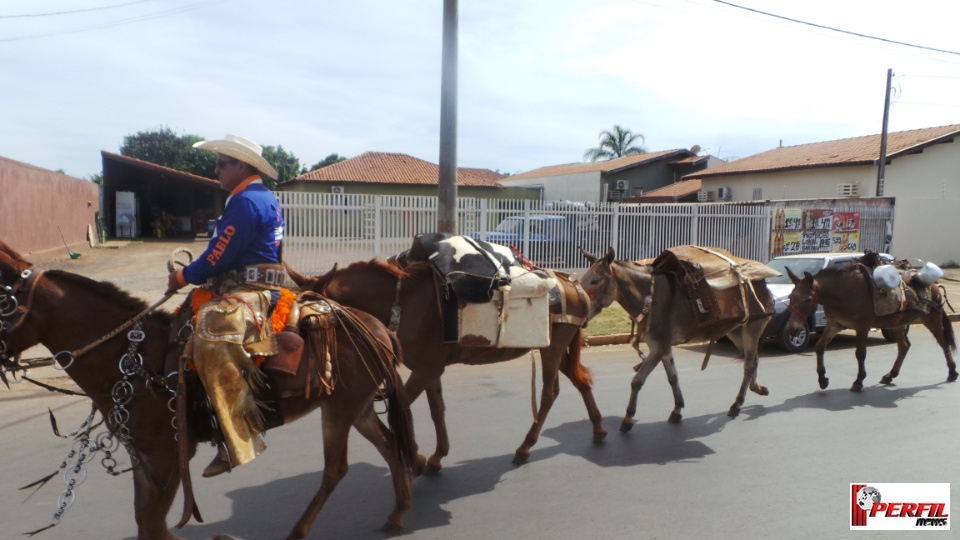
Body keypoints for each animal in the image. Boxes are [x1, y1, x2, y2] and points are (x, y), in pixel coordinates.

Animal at [0, 242, 420, 540]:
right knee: (389, 445)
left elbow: (152, 526)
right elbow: (145, 524)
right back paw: (399, 511)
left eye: (3, 301)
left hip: (340, 409)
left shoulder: (168, 458)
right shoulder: (144, 459)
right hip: (357, 406)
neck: (134, 360)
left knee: (336, 469)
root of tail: (377, 327)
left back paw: (299, 531)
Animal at [284, 258, 604, 468]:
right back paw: (599, 428)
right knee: (580, 380)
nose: (291, 361)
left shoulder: (426, 369)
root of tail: (574, 285)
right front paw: (438, 455)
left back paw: (526, 446)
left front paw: (415, 457)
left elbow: (403, 410)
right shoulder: (429, 369)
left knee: (550, 394)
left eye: (310, 320)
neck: (402, 302)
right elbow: (436, 409)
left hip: (553, 348)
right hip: (558, 349)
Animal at [576, 248, 780, 430]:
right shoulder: (663, 347)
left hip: (752, 328)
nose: (582, 314)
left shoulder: (658, 348)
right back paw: (756, 388)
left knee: (749, 365)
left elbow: (637, 381)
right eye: (582, 280)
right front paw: (677, 409)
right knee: (752, 360)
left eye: (595, 281)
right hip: (736, 333)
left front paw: (628, 418)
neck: (650, 297)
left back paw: (737, 404)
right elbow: (673, 377)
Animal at [784, 264, 956, 390]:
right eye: (791, 297)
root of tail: (934, 285)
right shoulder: (834, 323)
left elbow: (860, 354)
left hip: (931, 318)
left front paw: (858, 381)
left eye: (807, 299)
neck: (843, 293)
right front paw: (822, 379)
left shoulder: (862, 326)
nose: (793, 329)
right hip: (897, 324)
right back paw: (890, 375)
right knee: (904, 346)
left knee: (943, 342)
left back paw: (952, 372)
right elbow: (820, 347)